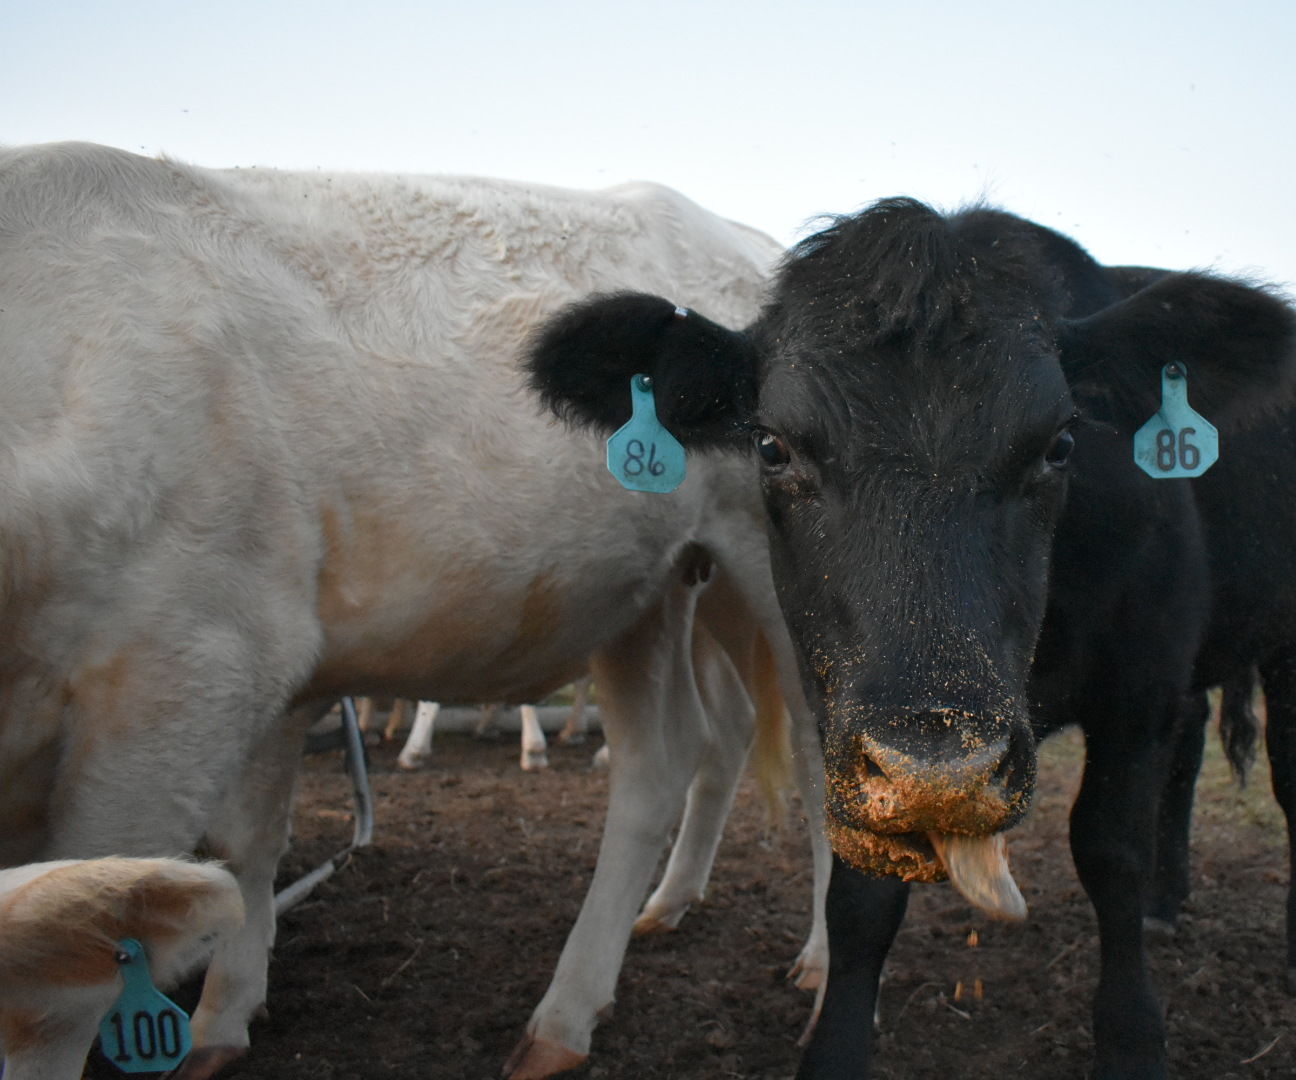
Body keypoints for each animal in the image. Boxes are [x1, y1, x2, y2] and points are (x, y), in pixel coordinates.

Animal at [0, 142, 831, 1079]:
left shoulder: (189, 673)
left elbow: (64, 979)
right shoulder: (267, 674)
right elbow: (249, 847)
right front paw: (222, 1021)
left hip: (777, 583)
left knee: (816, 760)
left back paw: (819, 965)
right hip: (645, 596)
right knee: (664, 761)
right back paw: (583, 997)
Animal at [526, 196, 1296, 1078]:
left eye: (1061, 443)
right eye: (771, 446)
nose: (943, 766)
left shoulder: (1140, 687)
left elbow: (1110, 852)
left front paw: (1133, 1040)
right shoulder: (847, 720)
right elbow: (861, 890)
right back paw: (1170, 903)